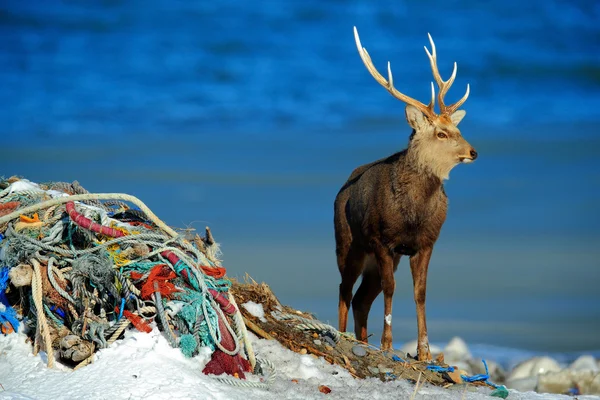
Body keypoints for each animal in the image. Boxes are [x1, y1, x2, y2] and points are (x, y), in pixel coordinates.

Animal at [332, 26, 478, 360]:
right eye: (441, 133)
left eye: (459, 129)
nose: (473, 152)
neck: (414, 215)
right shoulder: (382, 240)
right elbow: (391, 288)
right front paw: (387, 344)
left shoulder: (425, 243)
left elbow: (420, 292)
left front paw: (424, 351)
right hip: (348, 242)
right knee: (345, 289)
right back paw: (344, 335)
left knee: (361, 297)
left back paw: (363, 341)